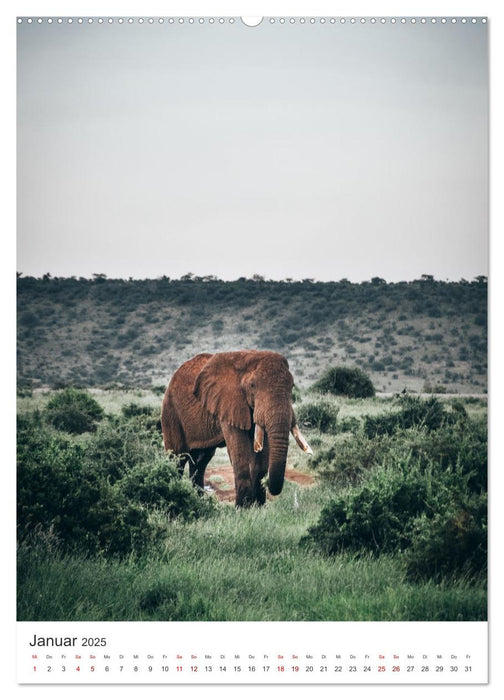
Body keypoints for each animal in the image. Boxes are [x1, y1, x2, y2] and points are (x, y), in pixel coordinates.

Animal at [161, 352, 312, 506]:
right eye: (252, 386)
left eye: (292, 386)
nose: (269, 485)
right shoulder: (229, 403)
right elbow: (239, 450)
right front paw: (243, 507)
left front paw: (258, 506)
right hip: (170, 412)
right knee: (178, 458)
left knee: (200, 461)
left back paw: (199, 500)